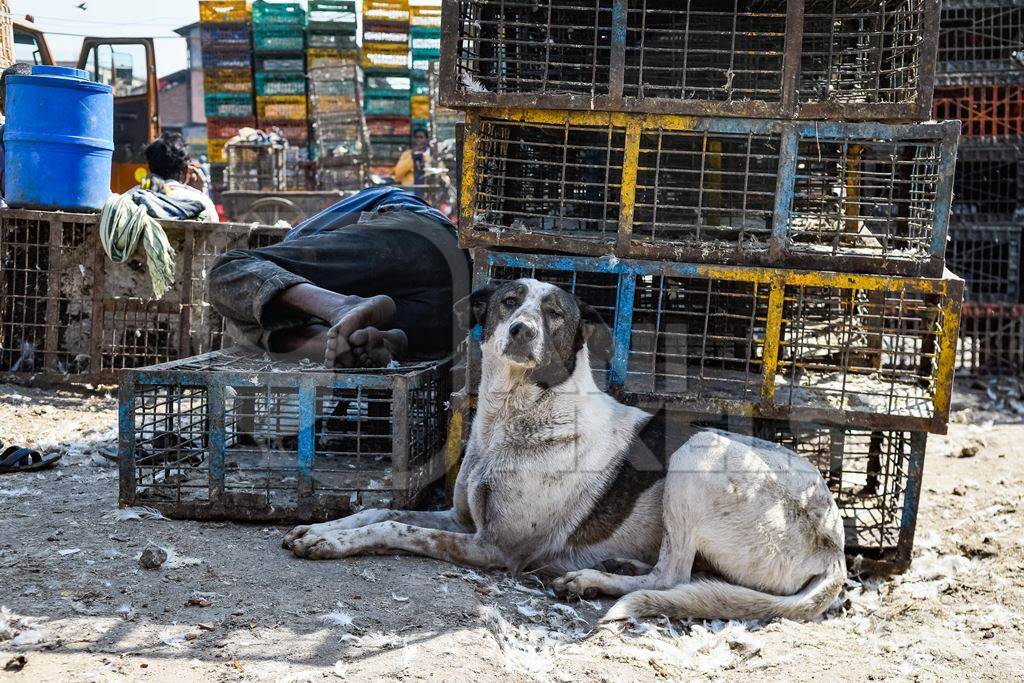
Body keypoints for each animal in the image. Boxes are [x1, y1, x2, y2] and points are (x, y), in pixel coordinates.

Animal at [284, 278, 843, 626]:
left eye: (554, 313)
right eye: (509, 301)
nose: (522, 330)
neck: (512, 416)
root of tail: (834, 544)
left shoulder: (494, 548)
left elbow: (398, 529)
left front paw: (333, 543)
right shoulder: (462, 519)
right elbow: (380, 511)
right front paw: (321, 529)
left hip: (698, 450)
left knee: (673, 575)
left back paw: (587, 580)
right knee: (681, 575)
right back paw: (619, 568)